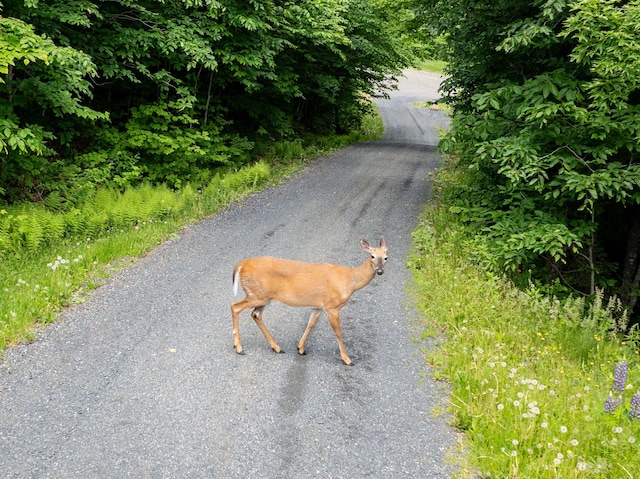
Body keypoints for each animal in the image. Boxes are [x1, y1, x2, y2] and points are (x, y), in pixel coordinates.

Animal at [232, 238, 388, 366]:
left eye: (386, 257)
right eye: (372, 256)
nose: (380, 271)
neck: (349, 281)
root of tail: (241, 264)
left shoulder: (319, 305)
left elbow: (311, 324)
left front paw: (300, 348)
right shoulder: (332, 306)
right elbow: (338, 332)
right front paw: (347, 359)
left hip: (262, 296)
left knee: (255, 314)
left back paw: (276, 347)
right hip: (257, 294)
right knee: (235, 306)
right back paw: (239, 348)